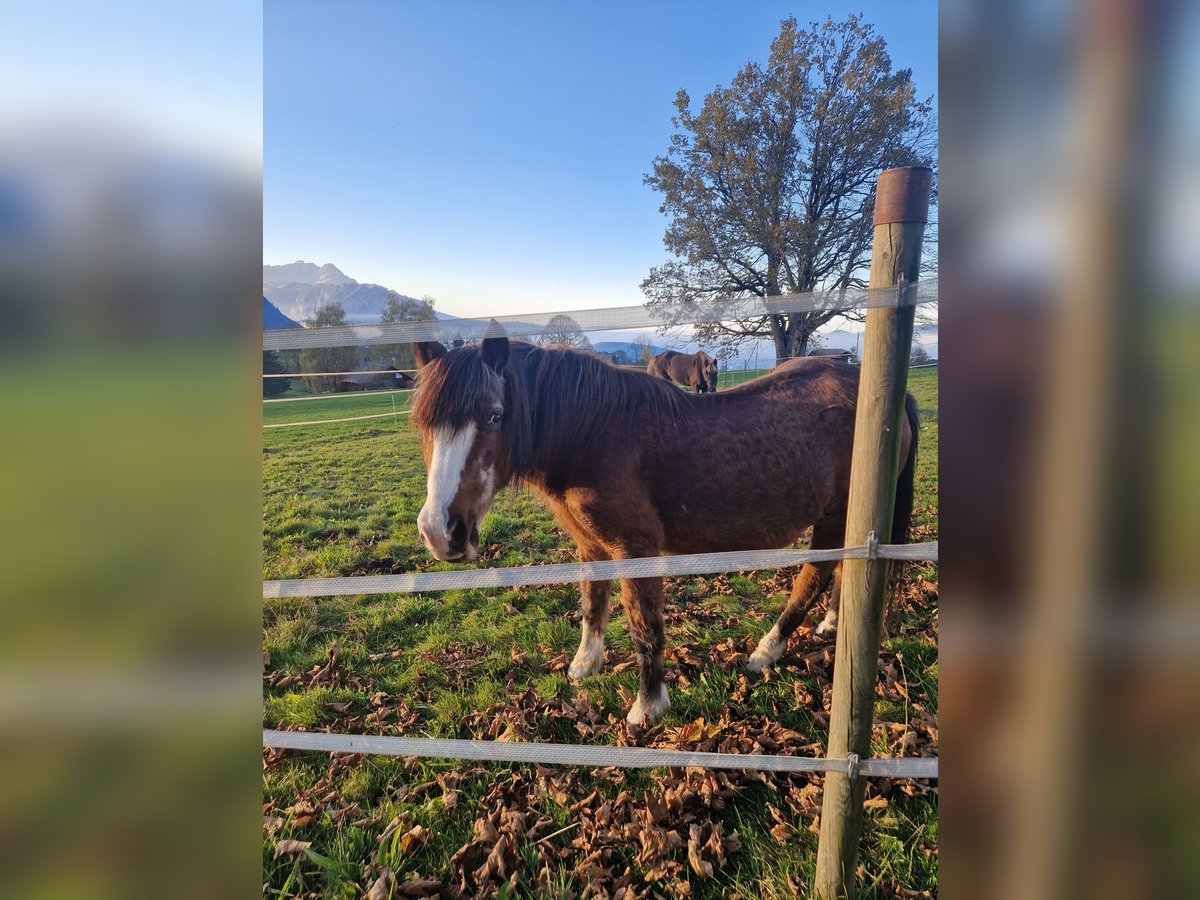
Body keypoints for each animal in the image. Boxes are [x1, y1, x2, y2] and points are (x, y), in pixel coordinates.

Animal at [412, 336, 916, 724]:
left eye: (495, 416)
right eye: (423, 423)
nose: (440, 532)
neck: (593, 434)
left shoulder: (635, 549)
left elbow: (644, 627)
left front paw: (648, 706)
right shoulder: (590, 545)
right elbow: (592, 606)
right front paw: (585, 664)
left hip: (834, 516)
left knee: (812, 578)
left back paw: (767, 650)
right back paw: (830, 623)